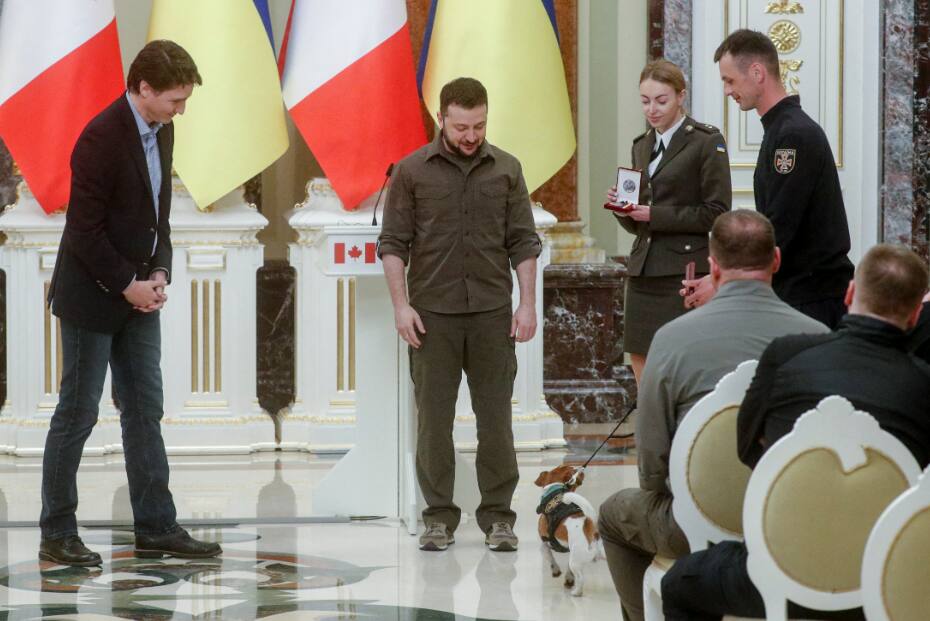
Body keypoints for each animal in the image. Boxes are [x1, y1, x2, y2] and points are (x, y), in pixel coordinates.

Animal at [532, 462, 604, 592]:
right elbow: (568, 569)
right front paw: (569, 578)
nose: (580, 468)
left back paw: (576, 592)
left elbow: (550, 558)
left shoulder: (544, 544)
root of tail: (589, 524)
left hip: (576, 559)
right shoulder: (570, 551)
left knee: (580, 578)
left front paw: (555, 570)